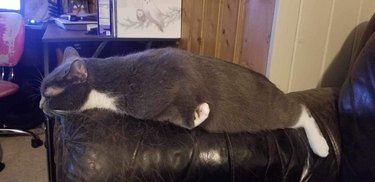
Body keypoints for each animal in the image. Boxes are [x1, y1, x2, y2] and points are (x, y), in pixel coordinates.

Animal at [39, 47, 330, 158]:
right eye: (41, 93)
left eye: (49, 93)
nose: (40, 106)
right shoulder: (162, 107)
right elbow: (181, 119)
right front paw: (199, 112)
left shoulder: (162, 89)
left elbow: (188, 115)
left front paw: (202, 110)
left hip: (268, 111)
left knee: (301, 110)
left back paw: (322, 146)